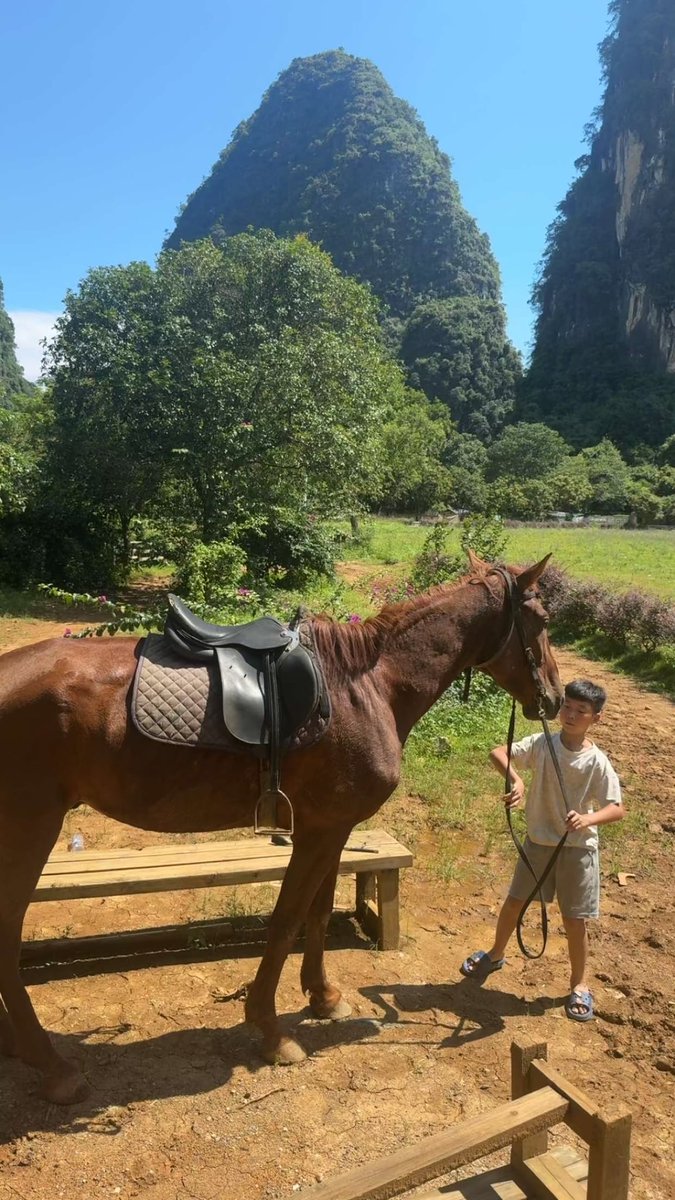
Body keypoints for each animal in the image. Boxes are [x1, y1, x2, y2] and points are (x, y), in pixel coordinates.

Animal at [0, 551, 562, 1104]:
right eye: (541, 619)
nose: (556, 697)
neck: (367, 686)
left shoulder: (331, 827)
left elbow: (318, 911)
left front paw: (324, 997)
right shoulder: (318, 832)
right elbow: (287, 919)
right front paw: (270, 1031)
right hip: (31, 830)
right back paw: (53, 1067)